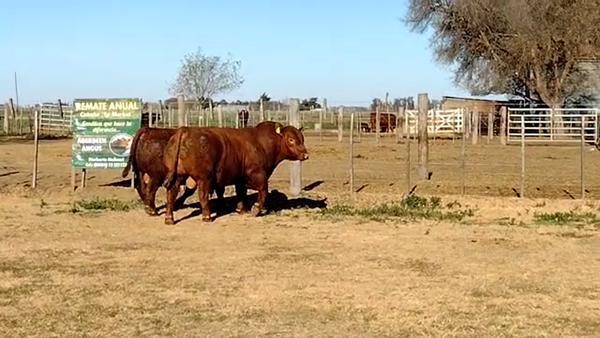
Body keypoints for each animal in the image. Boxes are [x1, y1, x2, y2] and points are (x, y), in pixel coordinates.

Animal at [162, 121, 308, 224]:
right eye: (291, 140)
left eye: (302, 139)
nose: (305, 155)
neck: (262, 142)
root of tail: (185, 130)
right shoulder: (258, 174)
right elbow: (263, 190)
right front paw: (255, 209)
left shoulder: (240, 178)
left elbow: (241, 193)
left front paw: (241, 209)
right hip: (205, 177)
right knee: (202, 196)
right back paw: (207, 216)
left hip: (178, 176)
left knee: (171, 194)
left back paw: (169, 218)